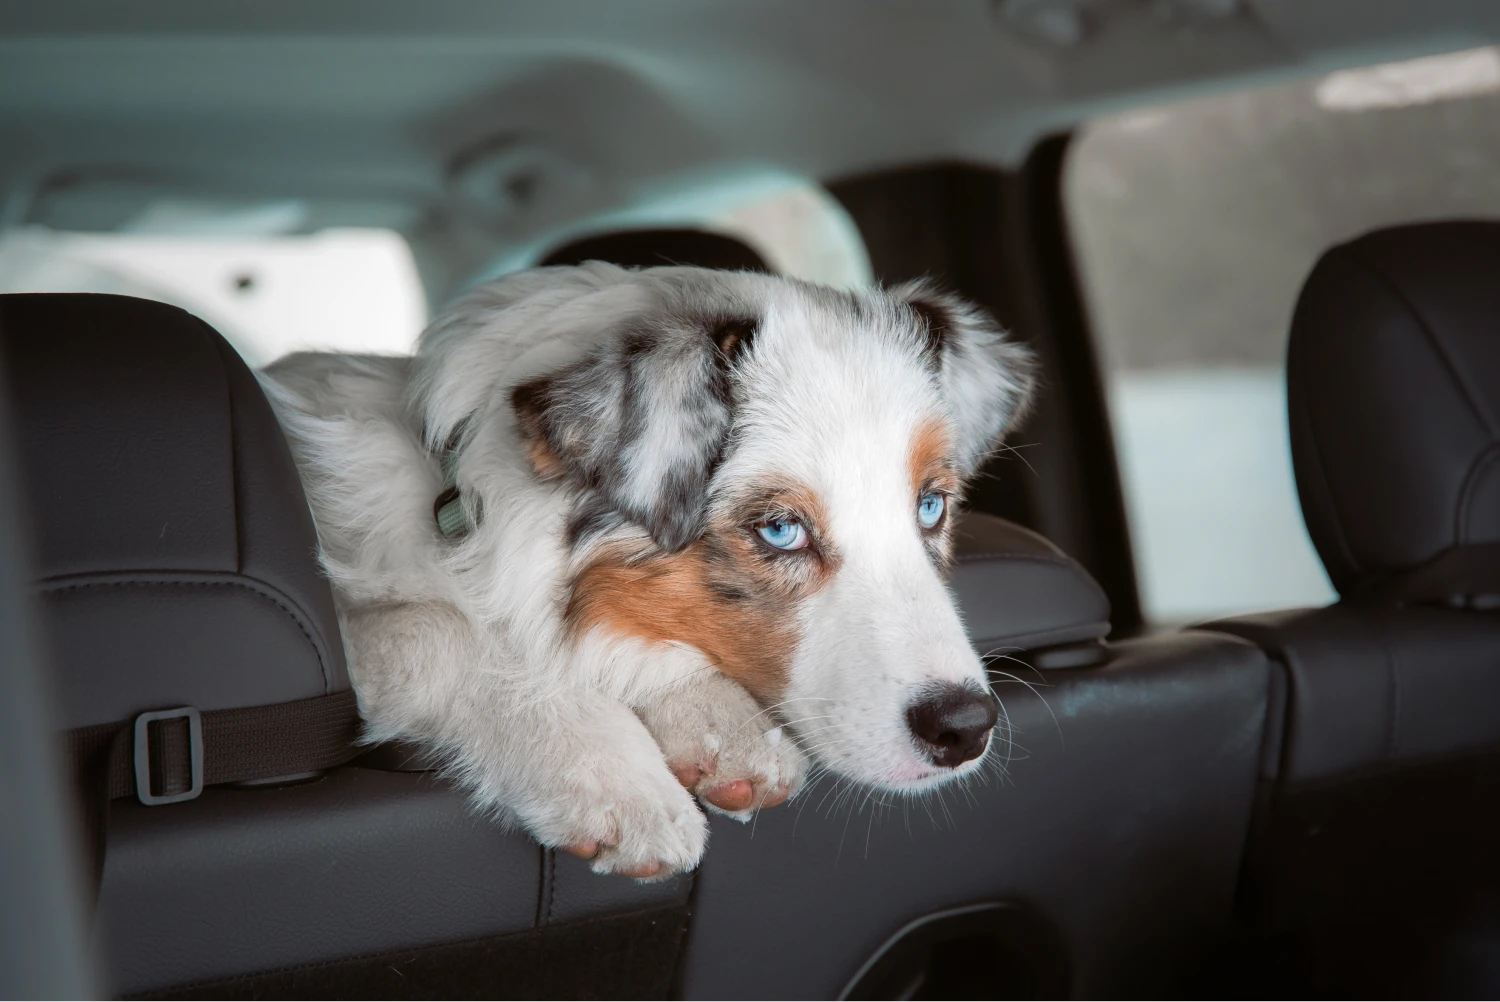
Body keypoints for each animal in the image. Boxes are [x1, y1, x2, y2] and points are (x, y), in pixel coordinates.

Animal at [261, 264, 1032, 876]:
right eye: (780, 530)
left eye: (930, 506)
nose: (966, 728)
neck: (462, 513)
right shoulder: (359, 623)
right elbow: (452, 634)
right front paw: (615, 775)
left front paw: (720, 723)